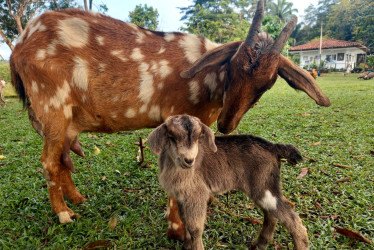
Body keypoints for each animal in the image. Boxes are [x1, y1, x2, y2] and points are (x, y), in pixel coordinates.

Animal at [148, 115, 308, 250]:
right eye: (172, 137)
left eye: (198, 137)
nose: (189, 160)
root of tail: (273, 147)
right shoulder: (182, 196)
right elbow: (184, 220)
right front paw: (187, 245)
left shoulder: (197, 194)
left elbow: (195, 227)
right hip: (262, 187)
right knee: (271, 213)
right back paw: (260, 243)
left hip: (264, 185)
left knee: (290, 216)